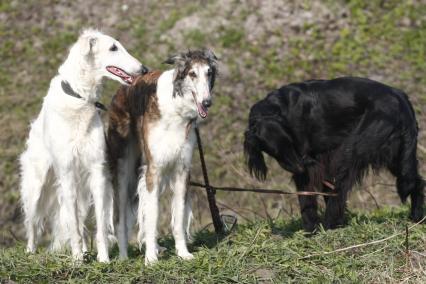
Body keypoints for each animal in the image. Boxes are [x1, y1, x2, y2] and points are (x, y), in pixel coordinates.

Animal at [19, 28, 146, 262]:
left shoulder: (97, 172)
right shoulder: (67, 174)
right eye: (113, 47)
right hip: (37, 186)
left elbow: (100, 227)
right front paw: (77, 260)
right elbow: (74, 228)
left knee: (81, 222)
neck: (79, 98)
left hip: (82, 189)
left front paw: (103, 259)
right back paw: (31, 252)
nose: (144, 69)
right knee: (33, 223)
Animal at [108, 48, 218, 264]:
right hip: (124, 172)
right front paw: (150, 259)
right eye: (192, 74)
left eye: (208, 73)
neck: (176, 108)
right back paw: (124, 257)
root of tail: (122, 88)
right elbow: (152, 218)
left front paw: (183, 253)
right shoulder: (154, 170)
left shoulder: (181, 170)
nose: (207, 103)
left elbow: (177, 220)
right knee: (121, 219)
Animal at [245, 76, 424, 232]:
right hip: (395, 154)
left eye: (290, 142)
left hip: (354, 150)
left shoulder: (308, 163)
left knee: (340, 189)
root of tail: (400, 97)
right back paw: (417, 217)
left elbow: (307, 196)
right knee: (416, 181)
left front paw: (310, 229)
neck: (277, 108)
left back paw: (330, 223)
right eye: (275, 151)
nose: (300, 167)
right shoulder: (319, 159)